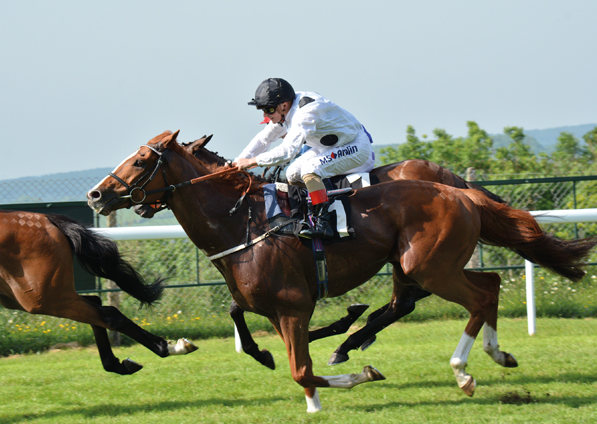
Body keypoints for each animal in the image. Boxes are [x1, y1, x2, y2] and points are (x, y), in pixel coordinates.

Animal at [0, 210, 197, 372]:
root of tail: (48, 219)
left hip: (40, 298)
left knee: (107, 313)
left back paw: (168, 348)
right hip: (21, 297)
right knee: (96, 305)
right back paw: (117, 364)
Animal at [86, 131, 592, 412]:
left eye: (141, 160)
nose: (95, 195)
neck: (244, 220)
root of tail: (461, 192)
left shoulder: (292, 305)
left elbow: (300, 369)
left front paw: (346, 368)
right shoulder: (275, 308)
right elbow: (267, 340)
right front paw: (292, 370)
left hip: (426, 266)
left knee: (470, 297)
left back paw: (459, 369)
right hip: (429, 265)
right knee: (485, 286)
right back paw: (495, 353)